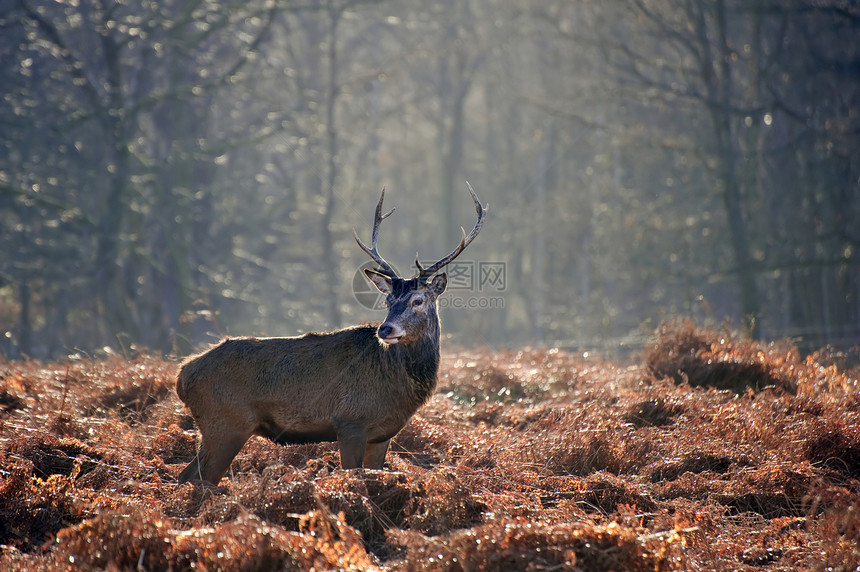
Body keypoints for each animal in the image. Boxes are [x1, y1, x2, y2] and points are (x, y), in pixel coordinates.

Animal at [176, 182, 484, 482]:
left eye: (417, 300)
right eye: (387, 301)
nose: (385, 329)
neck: (396, 387)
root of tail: (183, 376)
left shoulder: (382, 435)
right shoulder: (350, 423)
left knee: (188, 476)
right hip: (226, 424)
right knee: (196, 478)